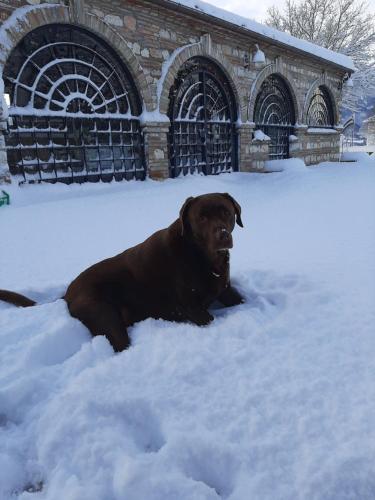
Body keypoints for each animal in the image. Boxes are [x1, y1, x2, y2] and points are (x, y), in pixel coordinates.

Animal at [0, 192, 244, 352]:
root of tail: (67, 294)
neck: (203, 258)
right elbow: (207, 316)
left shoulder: (226, 290)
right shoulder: (192, 308)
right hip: (105, 314)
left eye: (226, 212)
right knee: (120, 345)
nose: (223, 235)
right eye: (202, 217)